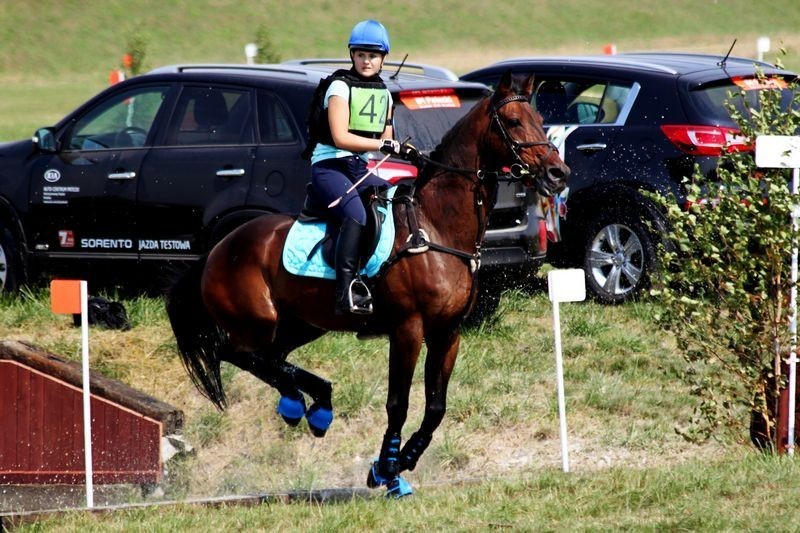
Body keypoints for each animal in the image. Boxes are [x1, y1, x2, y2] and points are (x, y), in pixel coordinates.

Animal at [167, 69, 568, 494]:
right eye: (513, 122)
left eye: (542, 121)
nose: (559, 174)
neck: (437, 226)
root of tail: (217, 250)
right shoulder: (408, 329)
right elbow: (399, 403)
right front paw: (388, 471)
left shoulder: (448, 331)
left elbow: (436, 406)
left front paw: (402, 460)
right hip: (257, 321)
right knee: (237, 353)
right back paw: (300, 404)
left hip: (302, 324)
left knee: (272, 358)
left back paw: (314, 406)